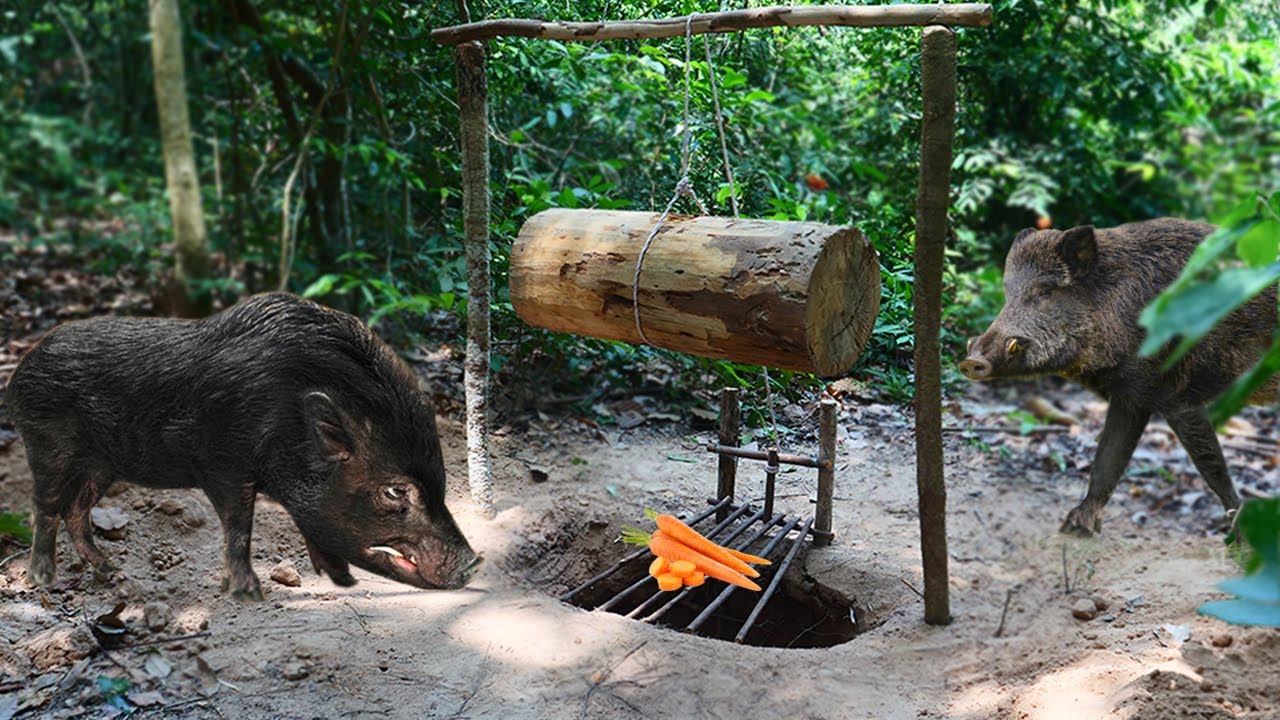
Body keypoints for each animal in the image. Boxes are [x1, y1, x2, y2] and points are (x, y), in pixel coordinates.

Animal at [5, 292, 481, 599]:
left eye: (440, 481)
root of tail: (19, 373)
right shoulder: (223, 465)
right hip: (47, 445)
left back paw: (113, 574)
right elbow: (239, 525)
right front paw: (248, 594)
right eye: (395, 491)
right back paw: (42, 580)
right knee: (45, 506)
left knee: (75, 510)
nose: (474, 562)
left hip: (100, 465)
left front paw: (342, 581)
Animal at [958, 219, 1276, 535]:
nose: (971, 361)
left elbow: (1211, 465)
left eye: (1046, 292)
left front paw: (1238, 532)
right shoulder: (1129, 398)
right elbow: (1107, 460)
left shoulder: (1175, 395)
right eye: (1007, 292)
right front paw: (1075, 527)